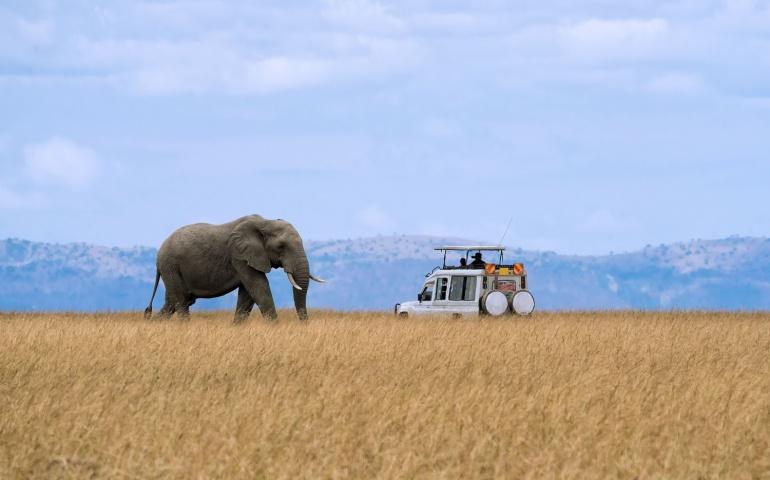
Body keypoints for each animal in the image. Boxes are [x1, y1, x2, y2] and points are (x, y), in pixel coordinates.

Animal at [144, 215, 324, 322]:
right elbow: (259, 287)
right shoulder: (240, 255)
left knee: (172, 302)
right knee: (180, 302)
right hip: (171, 266)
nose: (304, 326)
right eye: (281, 246)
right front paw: (275, 328)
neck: (265, 222)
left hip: (172, 270)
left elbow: (248, 294)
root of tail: (158, 255)